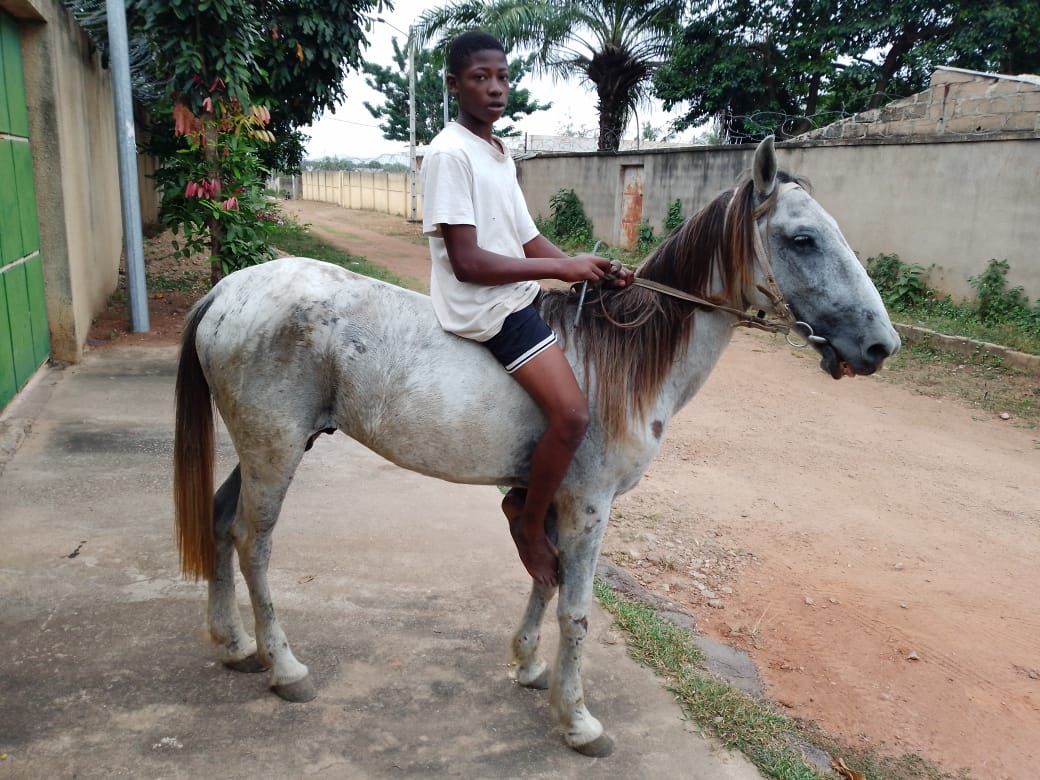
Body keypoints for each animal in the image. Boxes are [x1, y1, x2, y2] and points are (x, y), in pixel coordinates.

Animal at [173, 137, 900, 757]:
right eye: (802, 239)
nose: (880, 346)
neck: (623, 358)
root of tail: (229, 290)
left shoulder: (553, 499)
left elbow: (544, 579)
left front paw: (527, 663)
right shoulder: (590, 503)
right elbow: (575, 608)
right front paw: (577, 719)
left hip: (266, 448)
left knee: (220, 520)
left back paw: (235, 644)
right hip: (275, 451)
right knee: (254, 542)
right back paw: (284, 665)